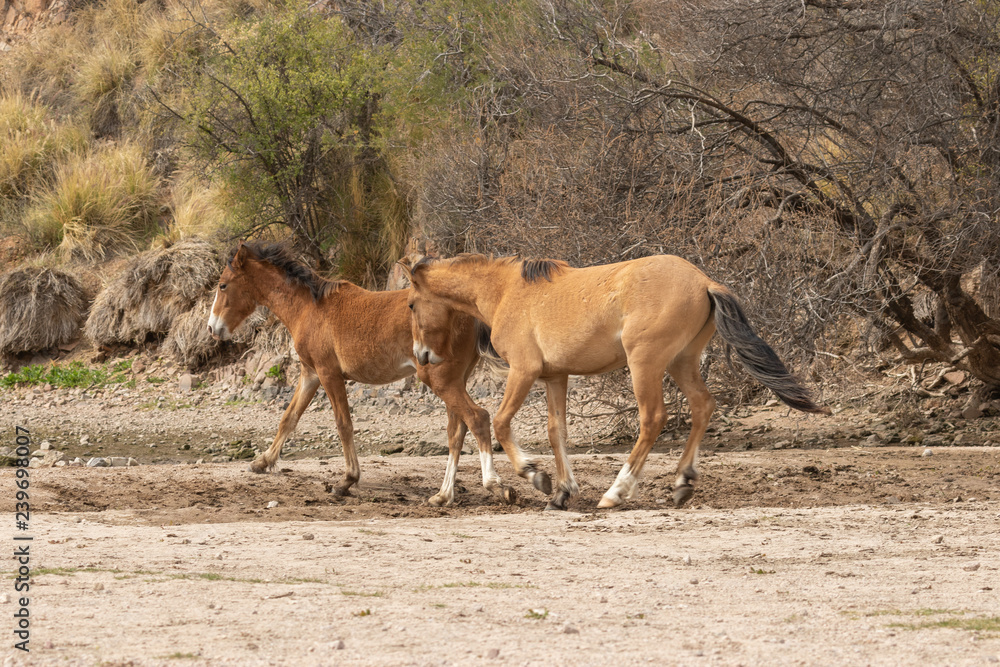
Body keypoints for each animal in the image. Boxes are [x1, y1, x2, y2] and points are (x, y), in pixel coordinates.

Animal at [202, 243, 548, 508]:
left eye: (222, 284)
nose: (212, 328)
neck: (308, 308)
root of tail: (471, 314)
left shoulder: (329, 373)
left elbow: (343, 424)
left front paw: (346, 481)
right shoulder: (310, 373)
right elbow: (289, 418)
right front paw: (262, 462)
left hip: (441, 380)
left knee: (477, 418)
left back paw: (499, 485)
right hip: (454, 380)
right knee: (457, 430)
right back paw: (443, 495)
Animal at [402, 254, 832, 512]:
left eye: (410, 304)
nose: (422, 356)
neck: (507, 291)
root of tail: (703, 281)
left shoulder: (523, 371)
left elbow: (503, 423)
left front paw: (536, 477)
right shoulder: (555, 377)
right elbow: (557, 432)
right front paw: (562, 492)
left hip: (646, 364)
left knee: (653, 419)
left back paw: (617, 492)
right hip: (681, 362)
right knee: (703, 406)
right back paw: (683, 481)